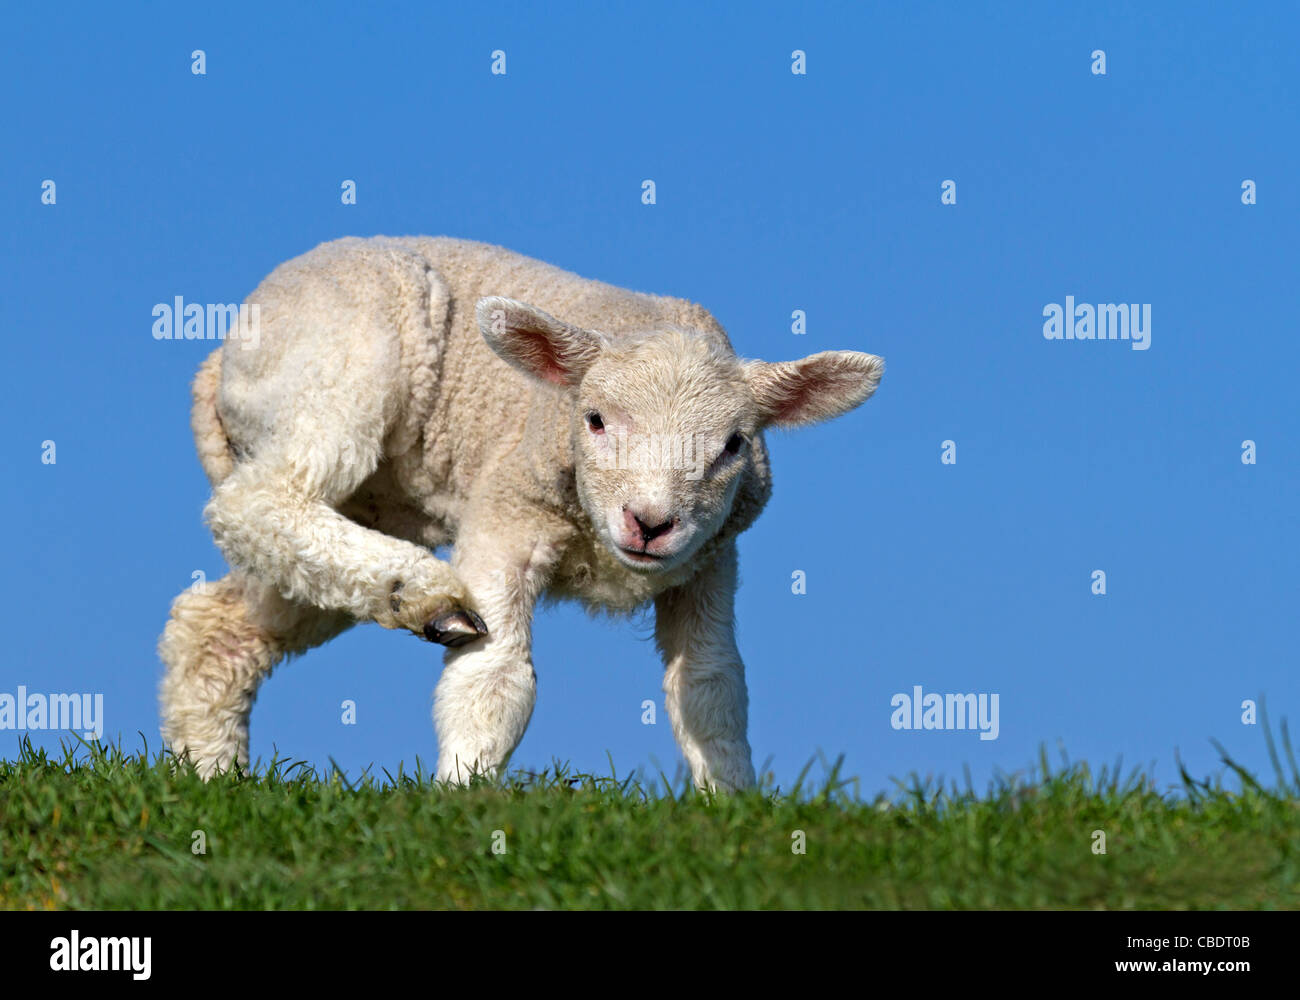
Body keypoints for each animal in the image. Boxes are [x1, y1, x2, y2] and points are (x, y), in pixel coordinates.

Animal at [154, 234, 883, 790]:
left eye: (733, 445)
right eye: (594, 420)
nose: (649, 523)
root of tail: (217, 362)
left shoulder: (709, 558)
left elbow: (711, 691)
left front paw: (731, 804)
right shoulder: (506, 511)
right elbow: (496, 679)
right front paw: (462, 794)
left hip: (365, 499)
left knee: (225, 619)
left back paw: (210, 775)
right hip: (342, 354)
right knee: (258, 499)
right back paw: (427, 595)